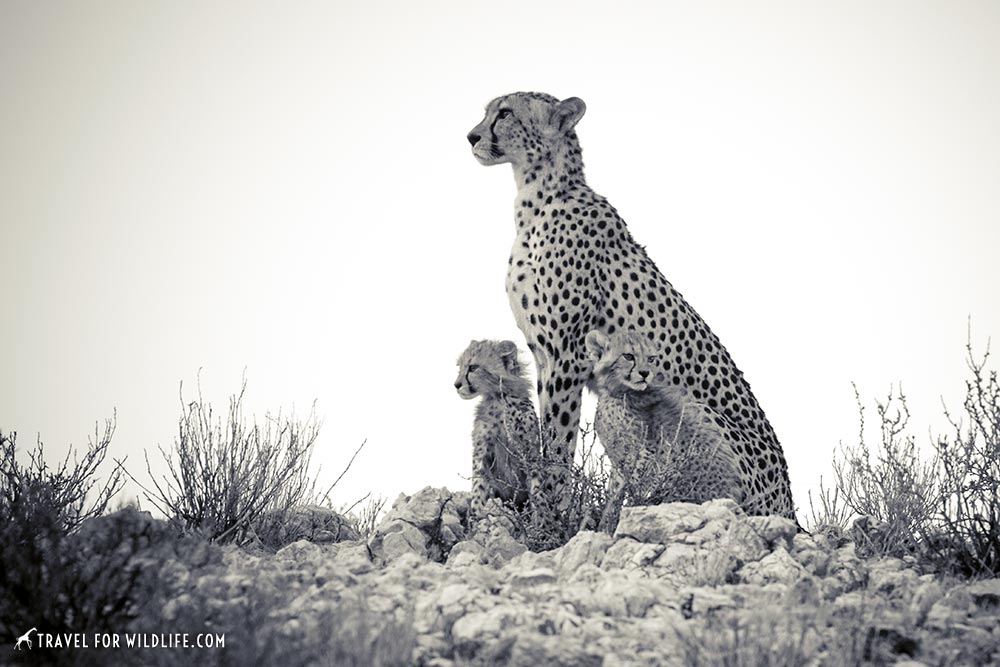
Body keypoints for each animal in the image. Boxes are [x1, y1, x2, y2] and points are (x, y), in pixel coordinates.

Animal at [458, 342, 544, 524]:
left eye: (473, 367)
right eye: (459, 367)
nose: (456, 384)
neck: (498, 398)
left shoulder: (528, 449)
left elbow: (536, 484)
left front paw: (541, 520)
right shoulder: (482, 450)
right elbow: (479, 484)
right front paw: (476, 515)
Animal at [584, 332, 744, 520]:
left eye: (651, 358)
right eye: (628, 356)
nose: (645, 373)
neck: (619, 392)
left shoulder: (644, 456)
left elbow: (634, 491)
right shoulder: (620, 462)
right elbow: (614, 495)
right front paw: (605, 519)